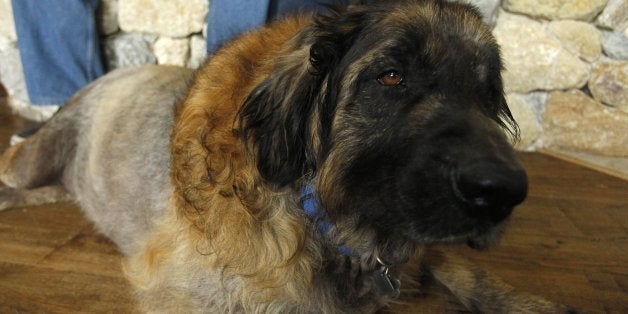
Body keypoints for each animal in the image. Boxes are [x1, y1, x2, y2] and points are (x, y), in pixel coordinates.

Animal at [0, 0, 568, 312]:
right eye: (391, 76)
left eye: (487, 94)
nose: (503, 191)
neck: (318, 215)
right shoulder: (184, 290)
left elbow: (464, 269)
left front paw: (527, 303)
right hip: (32, 159)